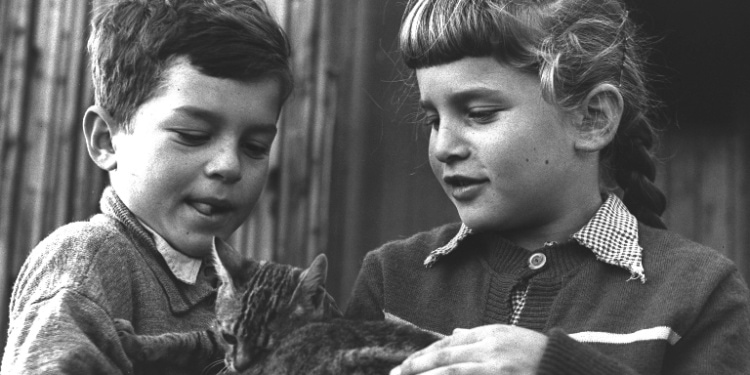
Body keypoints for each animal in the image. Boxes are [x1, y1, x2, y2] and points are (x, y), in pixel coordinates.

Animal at [116, 239, 440, 374]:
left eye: (270, 346)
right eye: (230, 336)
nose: (242, 366)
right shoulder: (216, 340)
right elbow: (186, 341)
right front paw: (139, 343)